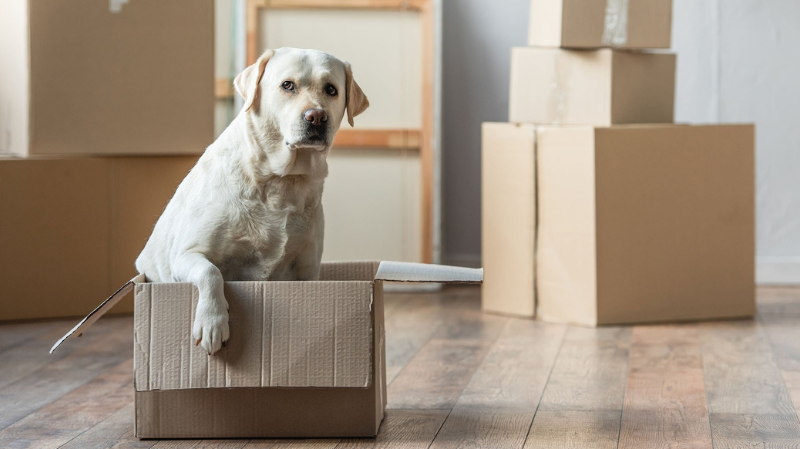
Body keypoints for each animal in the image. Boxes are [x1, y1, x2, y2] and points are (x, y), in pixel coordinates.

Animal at [137, 48, 368, 354]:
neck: (281, 182)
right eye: (287, 85)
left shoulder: (307, 271)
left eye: (331, 89)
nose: (317, 117)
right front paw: (212, 323)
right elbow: (211, 272)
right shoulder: (186, 254)